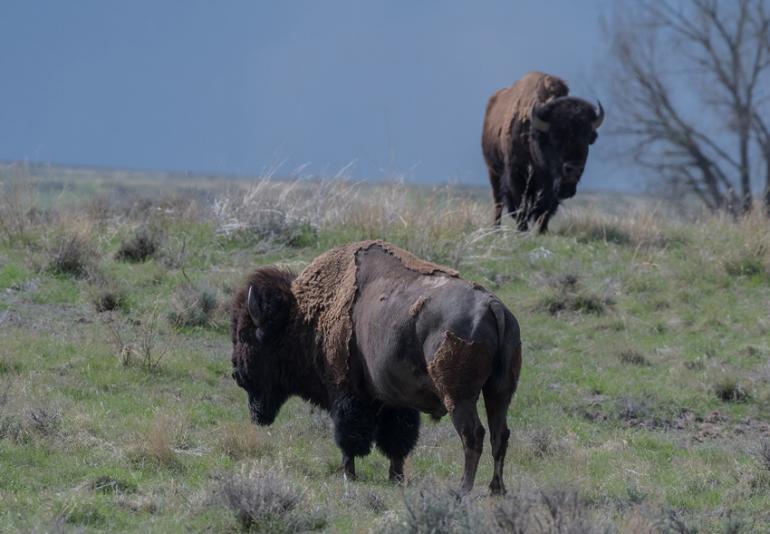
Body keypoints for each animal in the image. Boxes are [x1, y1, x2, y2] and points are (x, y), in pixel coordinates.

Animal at [230, 240, 522, 494]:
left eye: (245, 335)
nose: (236, 373)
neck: (303, 315)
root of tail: (493, 305)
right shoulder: (395, 400)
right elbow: (397, 441)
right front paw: (396, 477)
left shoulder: (346, 392)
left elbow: (349, 437)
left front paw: (348, 474)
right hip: (499, 392)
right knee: (500, 435)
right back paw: (496, 489)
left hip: (459, 397)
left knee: (473, 435)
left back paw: (463, 488)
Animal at [482, 71, 604, 231]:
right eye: (555, 136)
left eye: (588, 137)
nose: (574, 169)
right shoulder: (516, 177)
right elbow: (520, 205)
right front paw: (523, 229)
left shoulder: (551, 187)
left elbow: (546, 208)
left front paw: (542, 230)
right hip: (493, 171)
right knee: (498, 201)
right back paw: (496, 229)